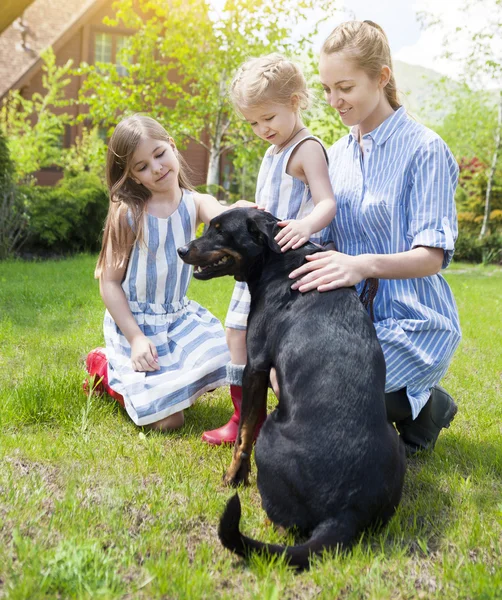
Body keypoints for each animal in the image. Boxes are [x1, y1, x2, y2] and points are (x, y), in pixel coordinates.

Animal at [178, 209, 406, 568]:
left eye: (220, 231)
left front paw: (232, 479)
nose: (181, 250)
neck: (279, 261)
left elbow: (243, 436)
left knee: (285, 526)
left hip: (272, 430)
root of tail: (346, 512)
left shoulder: (255, 365)